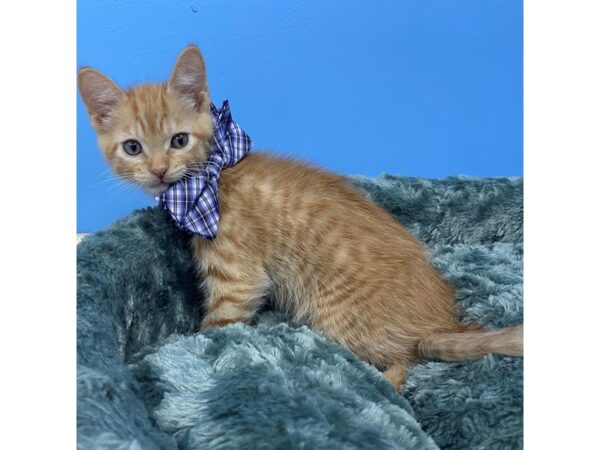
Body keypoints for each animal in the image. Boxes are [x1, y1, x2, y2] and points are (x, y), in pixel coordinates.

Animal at [78, 44, 520, 390]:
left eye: (179, 140)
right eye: (132, 147)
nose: (157, 170)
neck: (212, 178)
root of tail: (437, 323)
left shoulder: (236, 281)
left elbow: (216, 328)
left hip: (339, 322)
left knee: (404, 360)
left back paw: (384, 383)